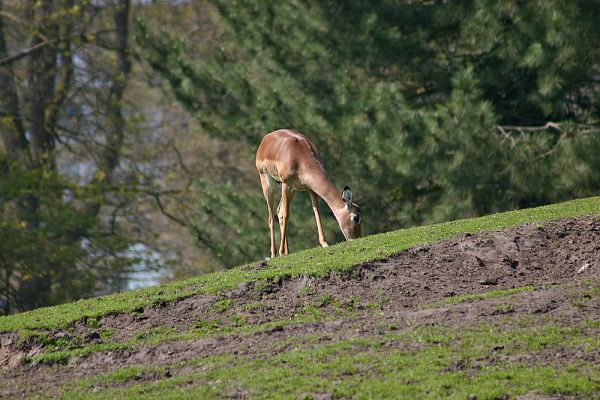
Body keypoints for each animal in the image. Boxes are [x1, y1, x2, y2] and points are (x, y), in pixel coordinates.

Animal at [254, 130, 360, 258]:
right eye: (356, 217)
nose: (357, 238)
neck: (299, 157)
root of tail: (266, 138)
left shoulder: (310, 188)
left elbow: (316, 210)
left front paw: (324, 243)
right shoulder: (285, 184)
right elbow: (286, 214)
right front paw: (280, 252)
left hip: (292, 190)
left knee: (279, 211)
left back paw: (287, 252)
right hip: (268, 183)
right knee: (271, 217)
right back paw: (274, 254)